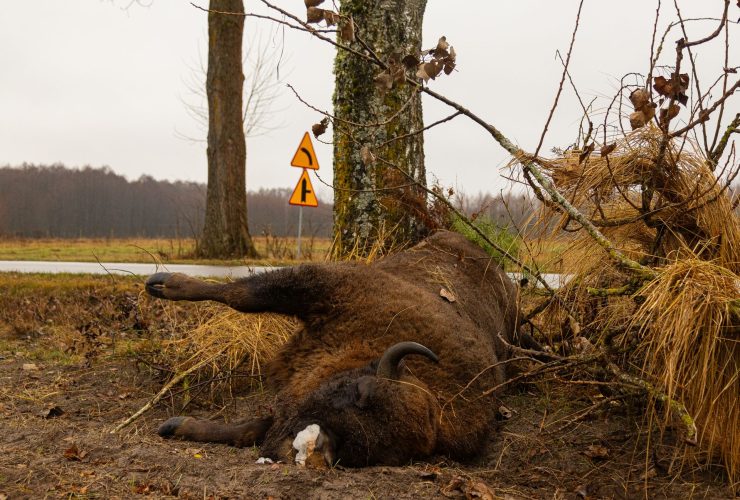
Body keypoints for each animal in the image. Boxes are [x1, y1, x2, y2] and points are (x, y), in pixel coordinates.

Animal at [147, 232, 516, 466]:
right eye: (362, 392)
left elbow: (253, 428)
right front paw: (165, 284)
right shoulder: (324, 286)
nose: (323, 447)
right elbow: (242, 295)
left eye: (377, 452)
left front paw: (178, 425)